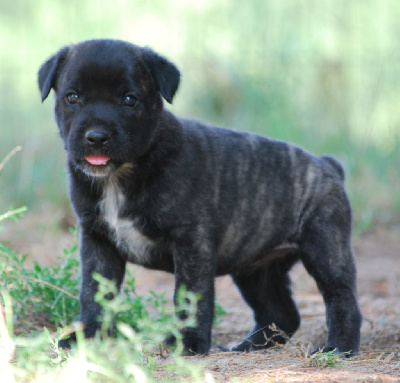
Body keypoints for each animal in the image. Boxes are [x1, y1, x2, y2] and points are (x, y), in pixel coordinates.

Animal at [38, 39, 362, 356]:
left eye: (130, 100)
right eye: (72, 97)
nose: (96, 136)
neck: (121, 175)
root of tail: (327, 165)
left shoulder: (191, 242)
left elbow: (190, 294)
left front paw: (188, 343)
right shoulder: (98, 242)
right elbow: (95, 294)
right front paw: (87, 337)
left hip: (325, 248)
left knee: (341, 297)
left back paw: (339, 348)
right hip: (256, 269)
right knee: (280, 311)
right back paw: (249, 346)